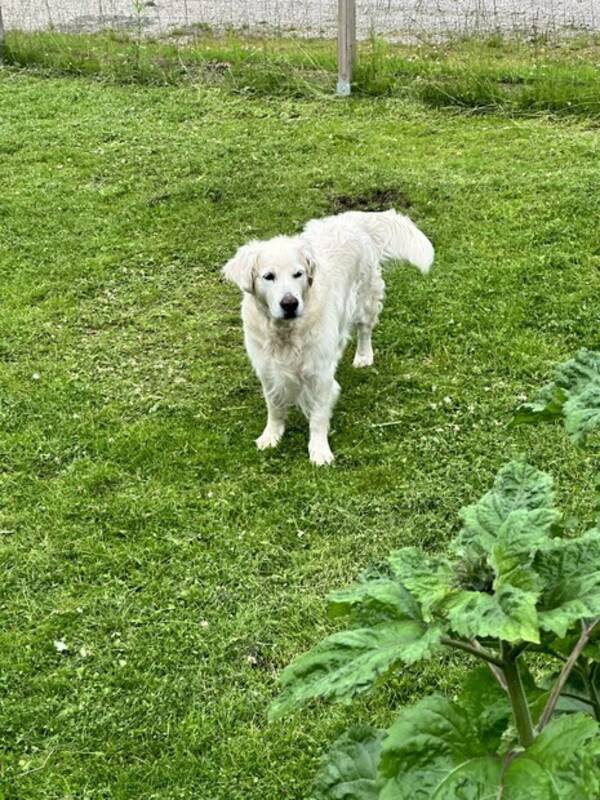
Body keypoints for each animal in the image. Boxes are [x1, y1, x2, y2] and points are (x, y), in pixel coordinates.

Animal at [223, 209, 434, 466]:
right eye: (268, 276)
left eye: (298, 274)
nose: (290, 303)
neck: (286, 332)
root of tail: (352, 219)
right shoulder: (267, 369)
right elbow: (274, 406)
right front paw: (271, 435)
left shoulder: (320, 374)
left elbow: (318, 416)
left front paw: (319, 451)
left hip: (365, 299)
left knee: (365, 329)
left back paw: (363, 357)